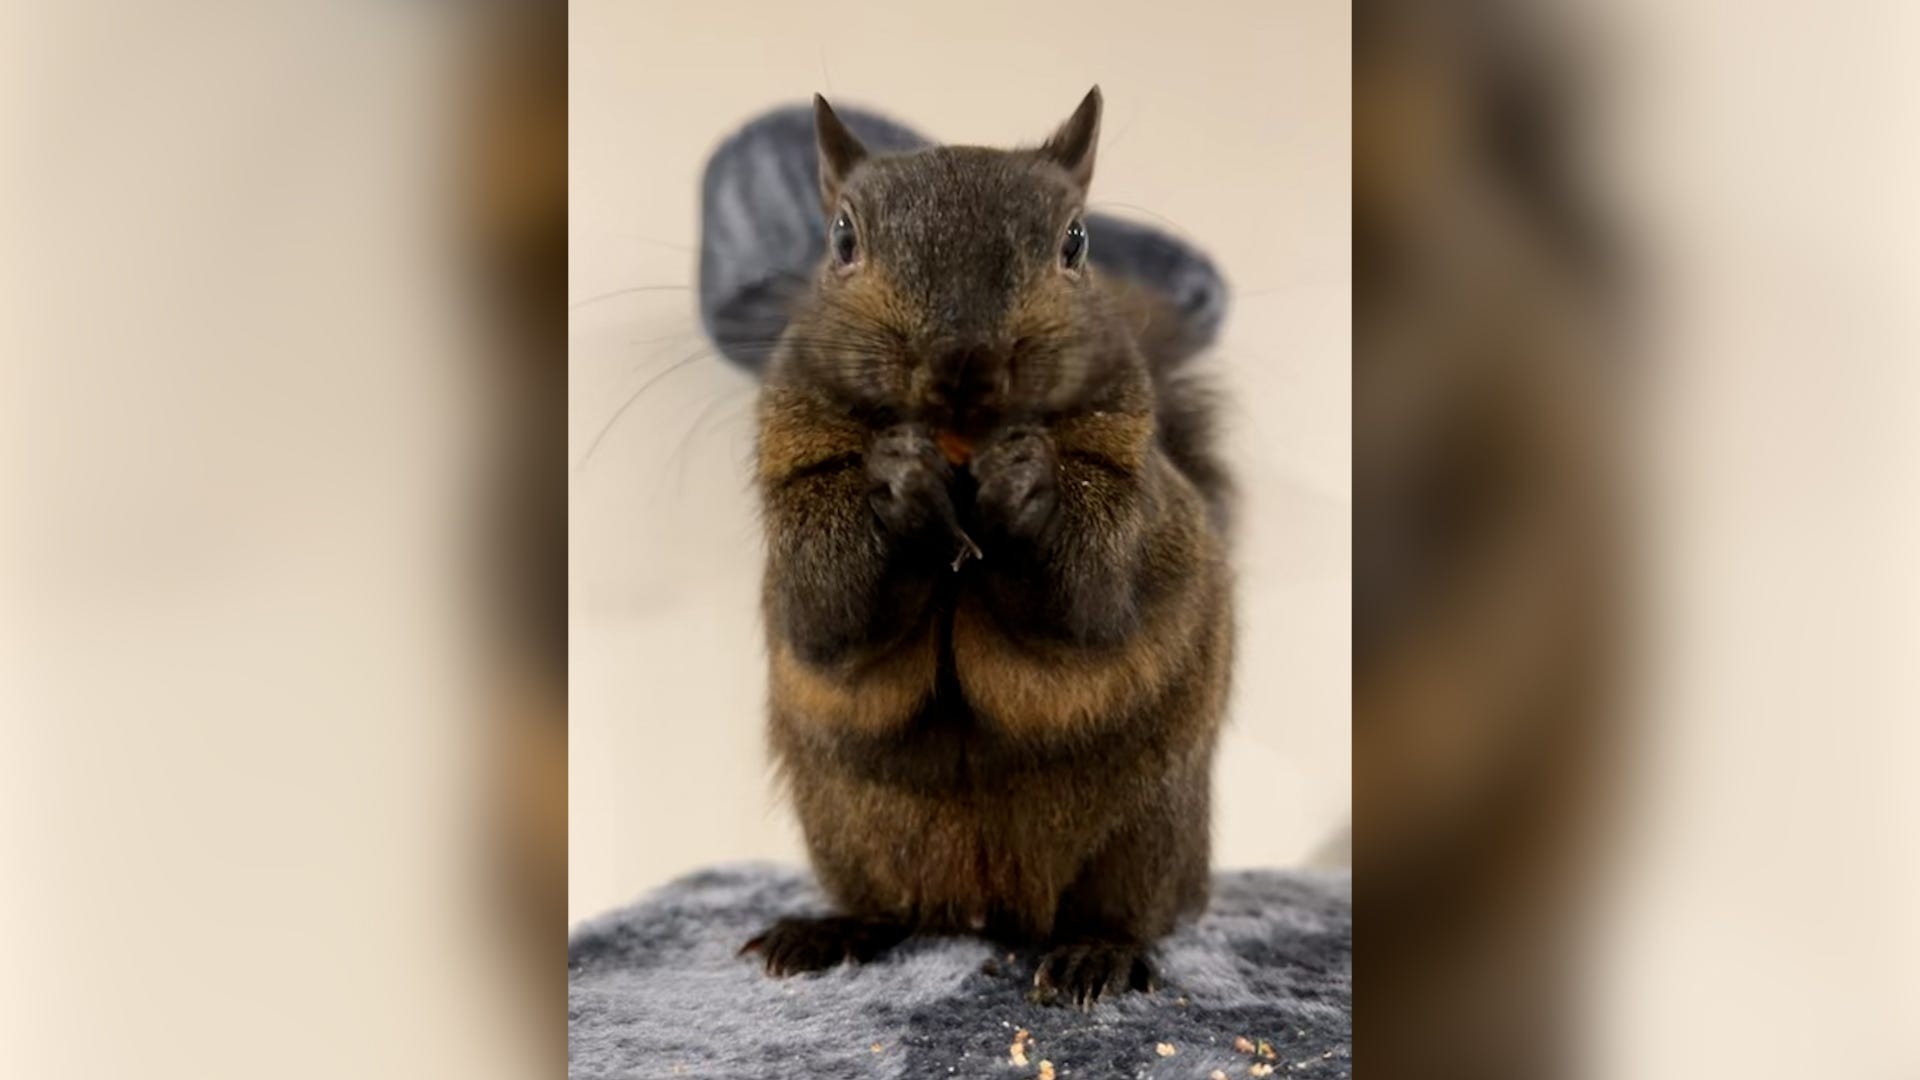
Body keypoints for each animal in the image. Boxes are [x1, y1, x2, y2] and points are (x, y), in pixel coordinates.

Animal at [741, 88, 1236, 1006]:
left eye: (1076, 242)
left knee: (1127, 911)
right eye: (842, 238)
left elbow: (1092, 599)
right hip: (849, 832)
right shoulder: (794, 479)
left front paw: (1023, 476)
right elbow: (826, 614)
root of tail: (984, 907)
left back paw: (1095, 956)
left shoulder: (1129, 487)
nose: (962, 359)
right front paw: (898, 474)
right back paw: (826, 932)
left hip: (1146, 832)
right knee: (890, 908)